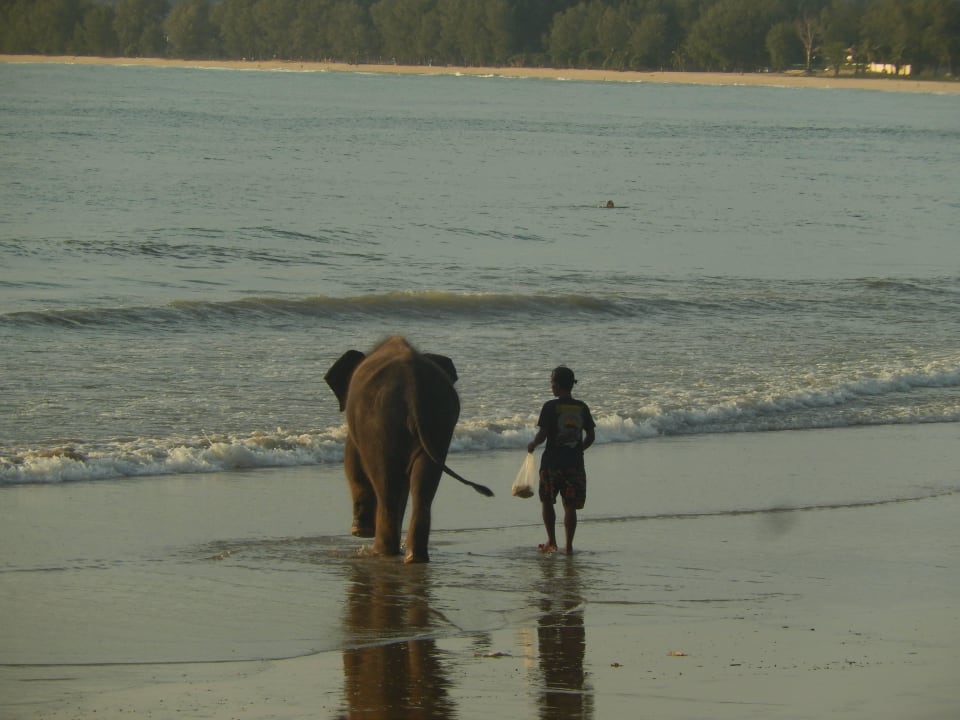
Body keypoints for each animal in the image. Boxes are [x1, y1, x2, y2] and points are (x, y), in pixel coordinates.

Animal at [325, 336, 493, 563]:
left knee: (387, 487)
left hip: (381, 423)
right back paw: (414, 557)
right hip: (438, 424)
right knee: (423, 488)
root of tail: (413, 389)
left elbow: (351, 461)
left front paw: (360, 532)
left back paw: (380, 552)